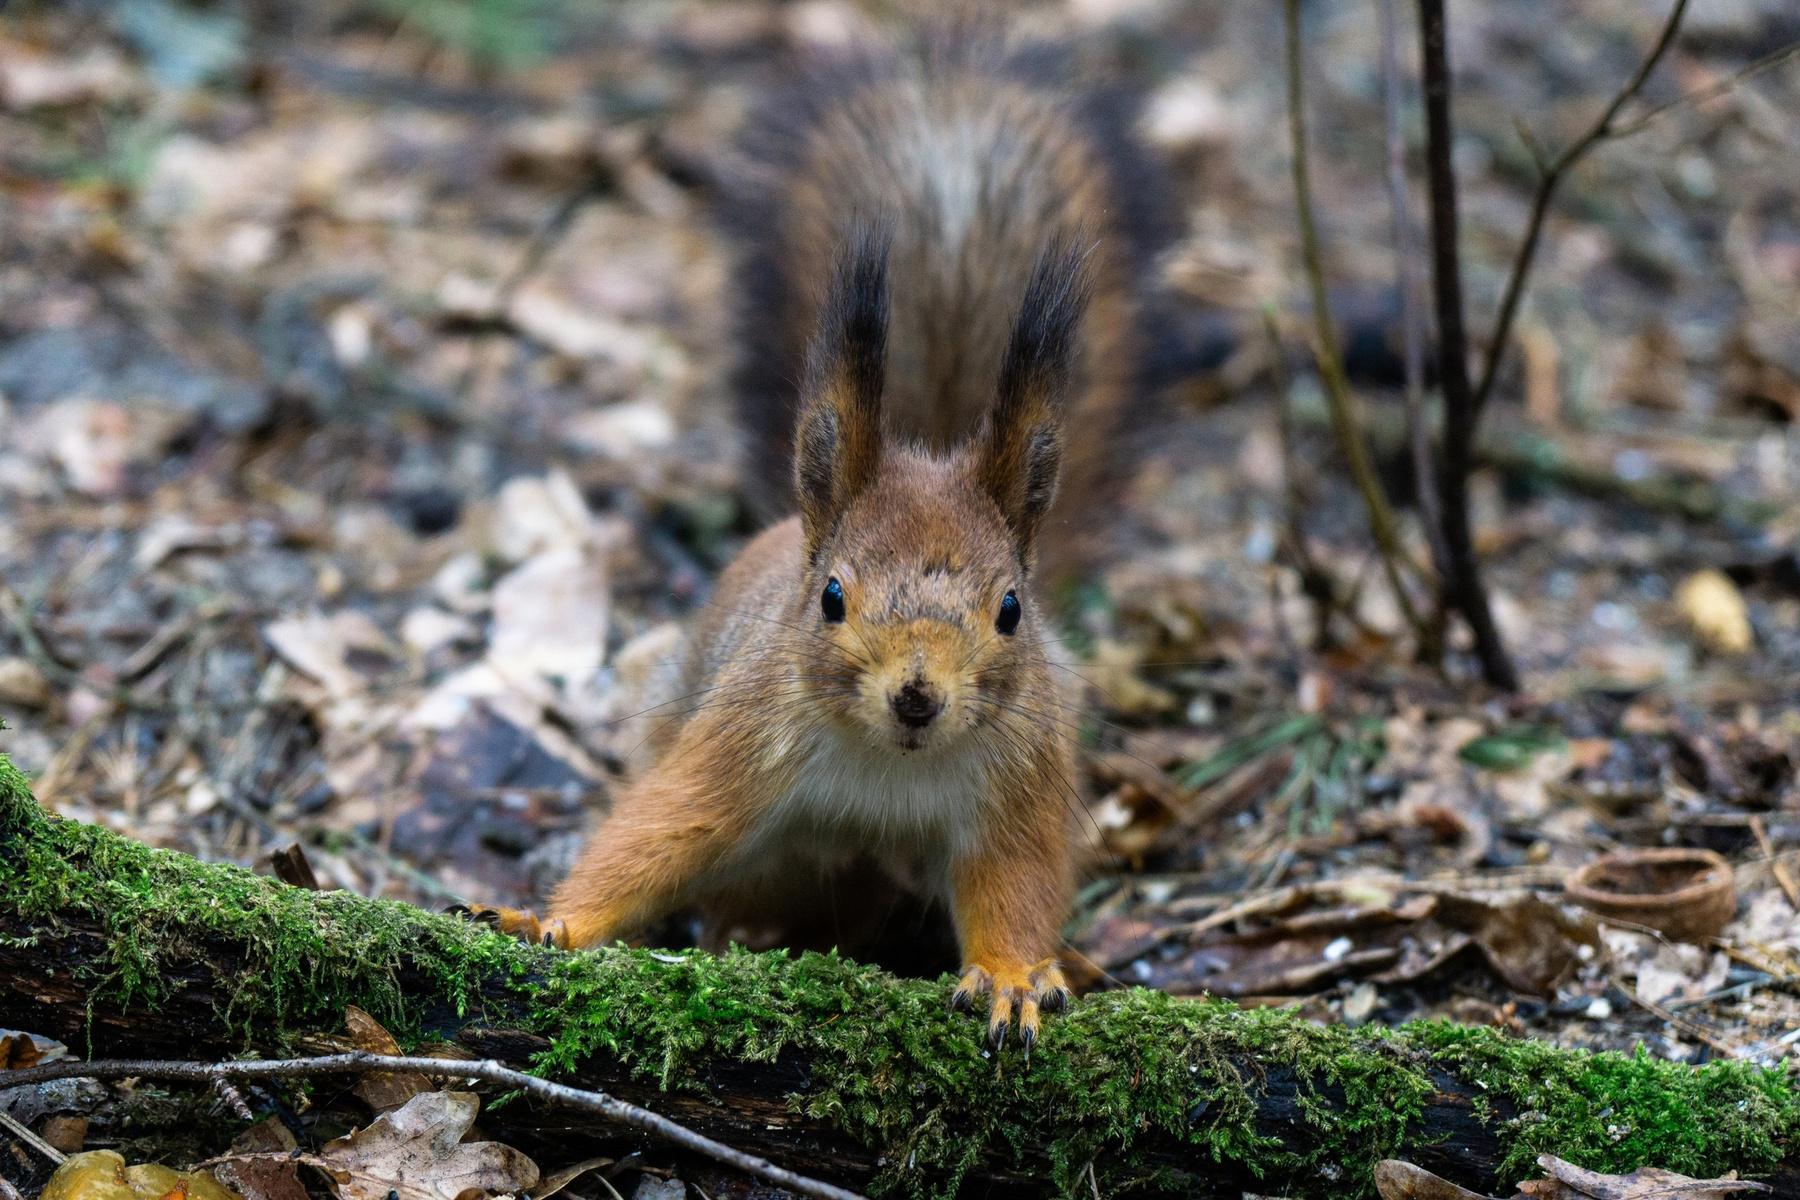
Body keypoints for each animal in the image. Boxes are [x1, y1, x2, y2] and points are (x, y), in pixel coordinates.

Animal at [469, 27, 1163, 1048]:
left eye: (1011, 610)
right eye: (833, 595)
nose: (917, 696)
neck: (891, 766)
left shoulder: (1023, 774)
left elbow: (1015, 880)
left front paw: (1013, 977)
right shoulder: (744, 735)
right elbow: (657, 832)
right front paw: (546, 921)